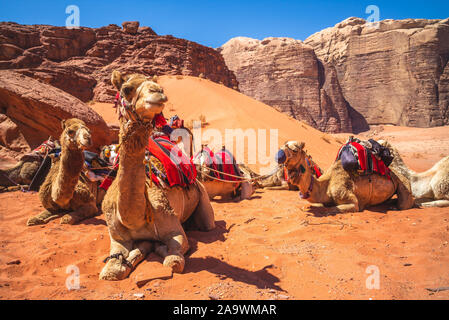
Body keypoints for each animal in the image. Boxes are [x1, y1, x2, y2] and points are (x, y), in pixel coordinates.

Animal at [100, 71, 215, 282]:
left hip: (203, 200)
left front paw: (157, 249)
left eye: (156, 84)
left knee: (207, 224)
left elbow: (174, 260)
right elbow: (110, 271)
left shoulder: (174, 229)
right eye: (126, 89)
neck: (134, 217)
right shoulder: (116, 236)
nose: (158, 92)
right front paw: (126, 260)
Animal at [276, 141, 412, 214]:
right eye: (282, 146)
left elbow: (332, 209)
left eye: (294, 150)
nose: (279, 155)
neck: (325, 186)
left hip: (402, 183)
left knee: (404, 204)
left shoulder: (351, 201)